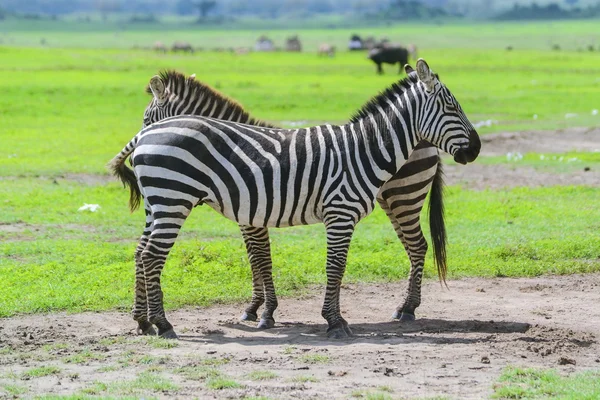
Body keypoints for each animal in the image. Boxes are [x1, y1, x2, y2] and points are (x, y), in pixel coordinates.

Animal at [109, 59, 482, 340]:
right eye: (453, 107)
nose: (477, 148)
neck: (366, 148)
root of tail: (146, 138)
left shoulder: (265, 216)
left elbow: (267, 261)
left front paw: (266, 312)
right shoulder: (338, 213)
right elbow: (328, 266)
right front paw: (332, 321)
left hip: (160, 202)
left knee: (143, 253)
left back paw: (144, 321)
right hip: (171, 199)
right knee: (151, 255)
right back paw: (161, 324)